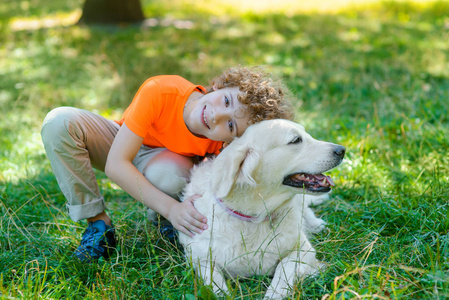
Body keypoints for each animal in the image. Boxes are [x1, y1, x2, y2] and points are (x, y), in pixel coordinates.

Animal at [178, 118, 344, 298]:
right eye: (295, 140)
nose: (341, 150)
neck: (254, 219)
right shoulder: (198, 257)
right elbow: (213, 281)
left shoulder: (304, 250)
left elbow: (285, 266)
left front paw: (274, 294)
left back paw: (315, 224)